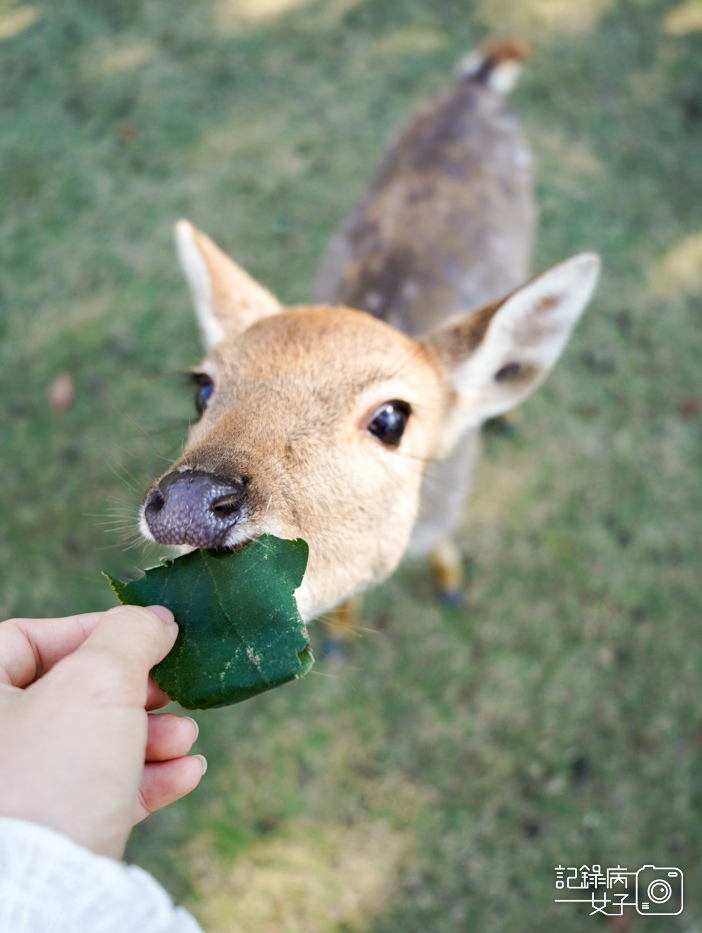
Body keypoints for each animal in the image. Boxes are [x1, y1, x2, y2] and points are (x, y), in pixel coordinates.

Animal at [140, 40, 604, 628]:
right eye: (202, 388)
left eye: (391, 418)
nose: (188, 503)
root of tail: (478, 82)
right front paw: (341, 630)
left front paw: (450, 583)